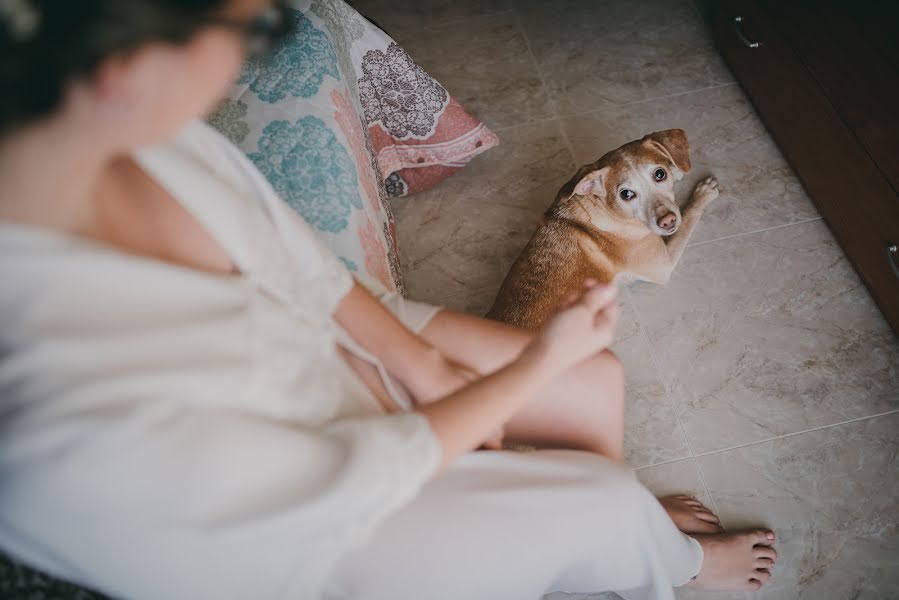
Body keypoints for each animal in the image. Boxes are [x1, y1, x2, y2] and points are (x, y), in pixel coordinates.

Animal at [488, 129, 720, 330]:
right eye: (626, 194)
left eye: (660, 174)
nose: (668, 221)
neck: (603, 209)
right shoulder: (663, 266)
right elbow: (688, 217)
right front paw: (703, 193)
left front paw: (678, 168)